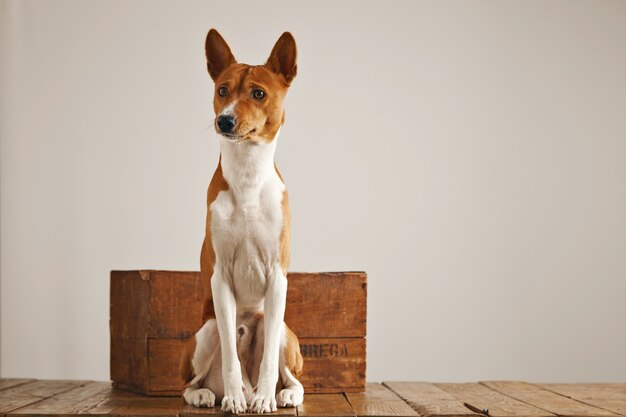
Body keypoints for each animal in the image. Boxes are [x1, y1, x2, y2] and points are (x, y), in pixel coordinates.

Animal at [177, 30, 304, 412]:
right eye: (222, 90)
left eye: (258, 93)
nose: (225, 121)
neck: (247, 178)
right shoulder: (220, 278)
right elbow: (232, 358)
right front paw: (233, 398)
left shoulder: (278, 278)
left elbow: (267, 360)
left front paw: (264, 399)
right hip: (205, 332)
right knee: (188, 383)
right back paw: (208, 395)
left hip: (284, 333)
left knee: (293, 377)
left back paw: (279, 394)